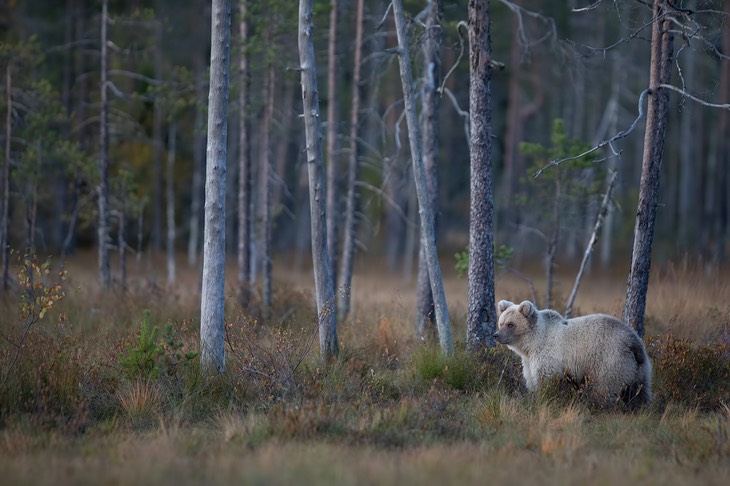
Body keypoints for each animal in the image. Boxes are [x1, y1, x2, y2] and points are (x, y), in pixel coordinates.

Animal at [492, 300, 652, 406]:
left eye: (511, 324)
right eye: (501, 322)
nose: (496, 335)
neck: (531, 343)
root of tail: (633, 341)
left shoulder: (548, 356)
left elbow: (546, 380)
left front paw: (545, 397)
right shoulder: (529, 361)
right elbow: (531, 379)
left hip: (610, 361)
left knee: (605, 388)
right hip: (639, 368)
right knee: (640, 391)